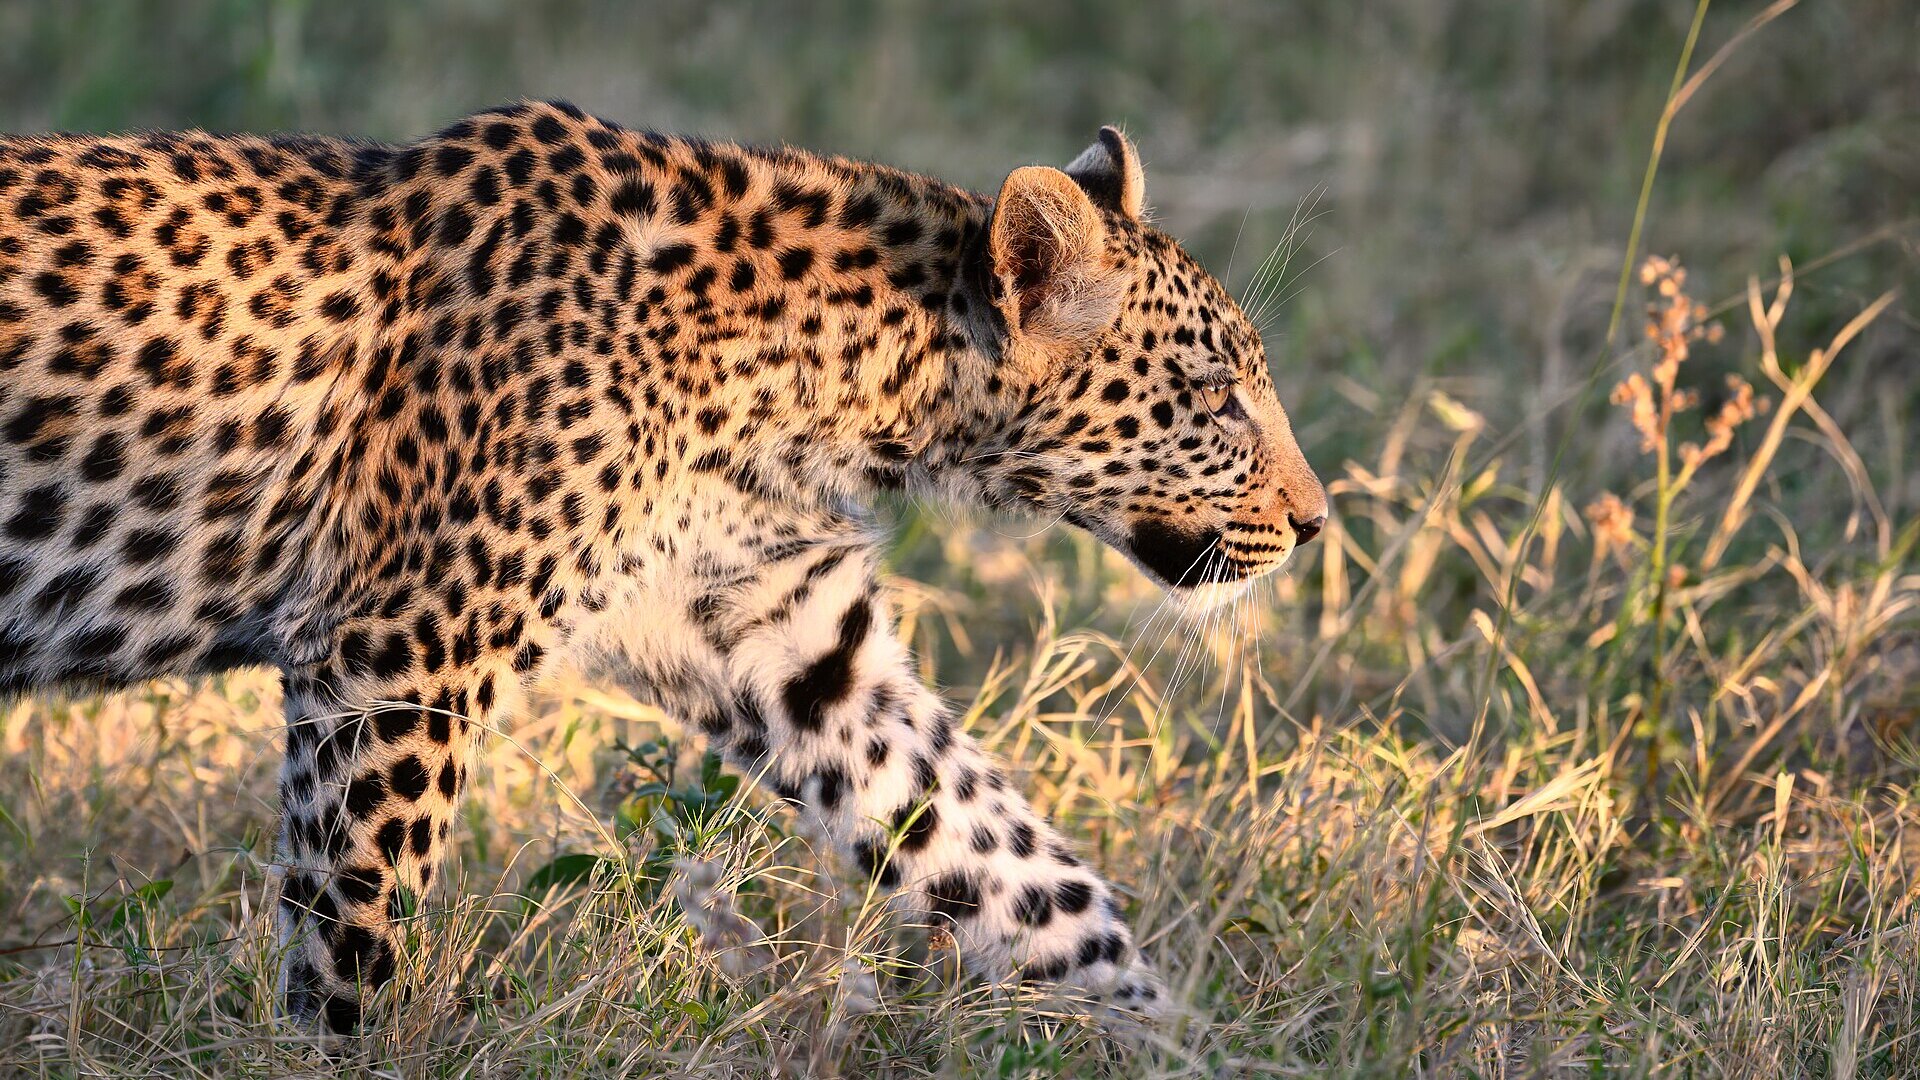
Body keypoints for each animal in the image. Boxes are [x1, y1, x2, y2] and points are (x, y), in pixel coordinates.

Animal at [0, 100, 1326, 1034]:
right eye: (1217, 396)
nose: (1317, 524)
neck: (831, 380)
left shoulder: (791, 640)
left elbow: (1012, 866)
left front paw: (1187, 1043)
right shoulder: (398, 651)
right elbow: (357, 920)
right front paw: (338, 1051)